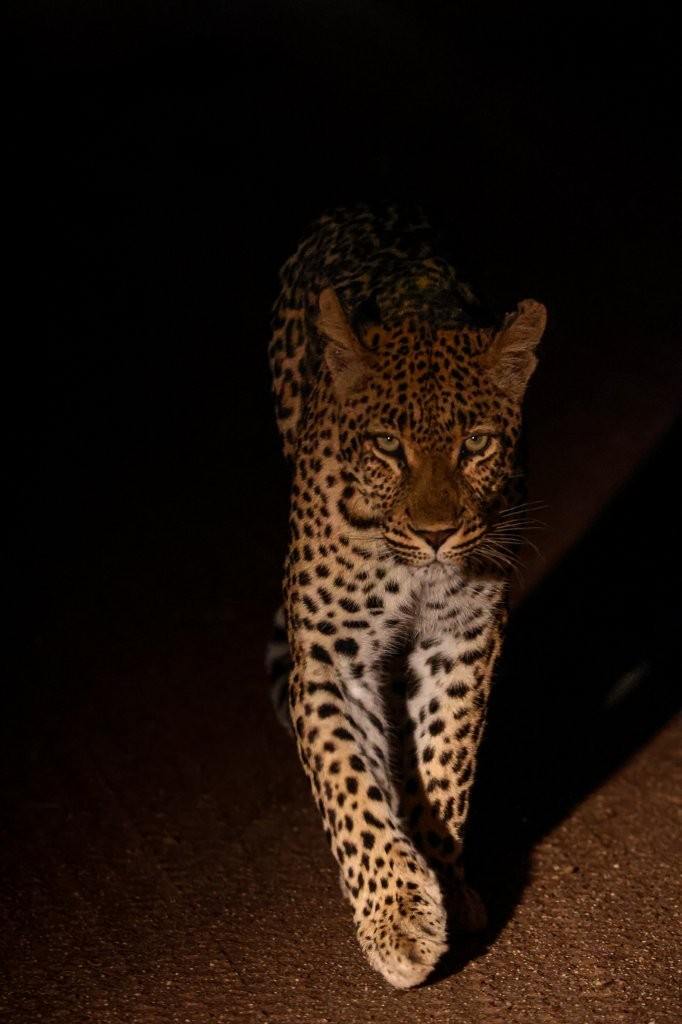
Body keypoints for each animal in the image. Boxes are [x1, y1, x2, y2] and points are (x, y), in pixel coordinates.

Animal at [265, 203, 546, 988]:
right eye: (388, 446)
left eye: (476, 444)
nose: (437, 533)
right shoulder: (329, 655)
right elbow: (347, 780)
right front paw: (396, 916)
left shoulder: (464, 635)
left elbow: (446, 757)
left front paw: (443, 878)